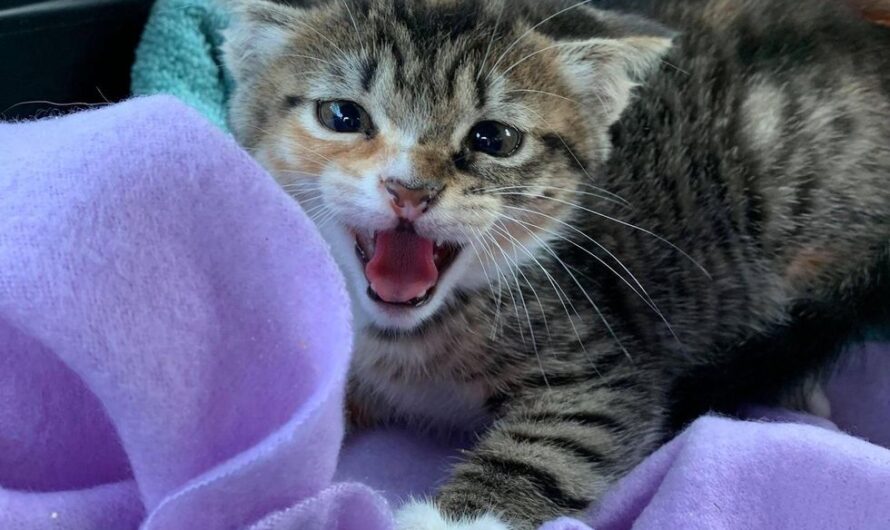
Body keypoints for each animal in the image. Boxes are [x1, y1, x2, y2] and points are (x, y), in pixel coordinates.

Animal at [220, 0, 888, 524]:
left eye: (493, 138)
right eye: (342, 116)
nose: (409, 190)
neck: (408, 336)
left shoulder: (603, 362)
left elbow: (552, 449)